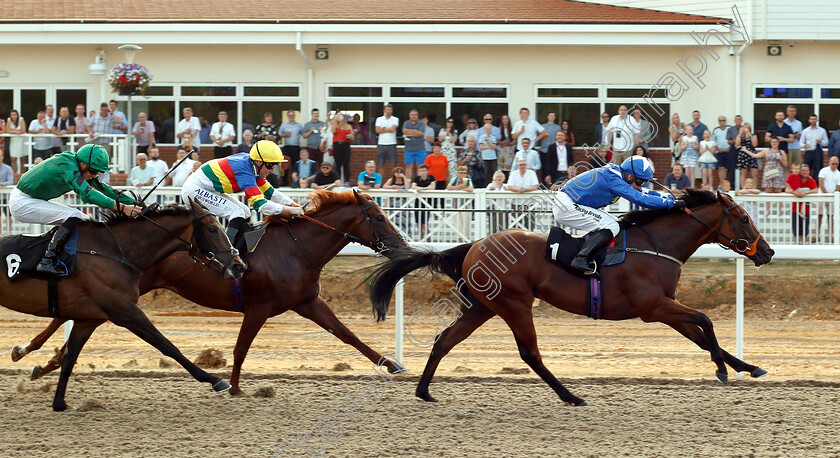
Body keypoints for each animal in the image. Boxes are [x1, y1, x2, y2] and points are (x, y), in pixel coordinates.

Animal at [0, 204, 244, 412]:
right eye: (213, 229)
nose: (239, 265)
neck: (114, 252)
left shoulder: (88, 320)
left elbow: (70, 356)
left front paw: (59, 402)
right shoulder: (126, 312)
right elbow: (168, 346)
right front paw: (215, 380)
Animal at [12, 189, 406, 394]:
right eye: (380, 217)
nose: (400, 245)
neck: (295, 248)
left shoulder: (308, 302)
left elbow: (348, 335)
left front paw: (391, 364)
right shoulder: (259, 307)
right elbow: (241, 348)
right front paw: (234, 386)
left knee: (72, 315)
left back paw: (41, 361)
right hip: (122, 291)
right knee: (66, 314)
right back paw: (29, 353)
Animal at [368, 189, 776, 404]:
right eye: (743, 218)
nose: (768, 252)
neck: (656, 245)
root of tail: (475, 245)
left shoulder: (665, 308)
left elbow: (703, 335)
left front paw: (748, 367)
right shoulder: (654, 306)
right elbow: (706, 321)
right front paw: (722, 370)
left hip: (482, 306)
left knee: (444, 340)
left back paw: (424, 391)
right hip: (515, 303)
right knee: (530, 353)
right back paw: (571, 396)